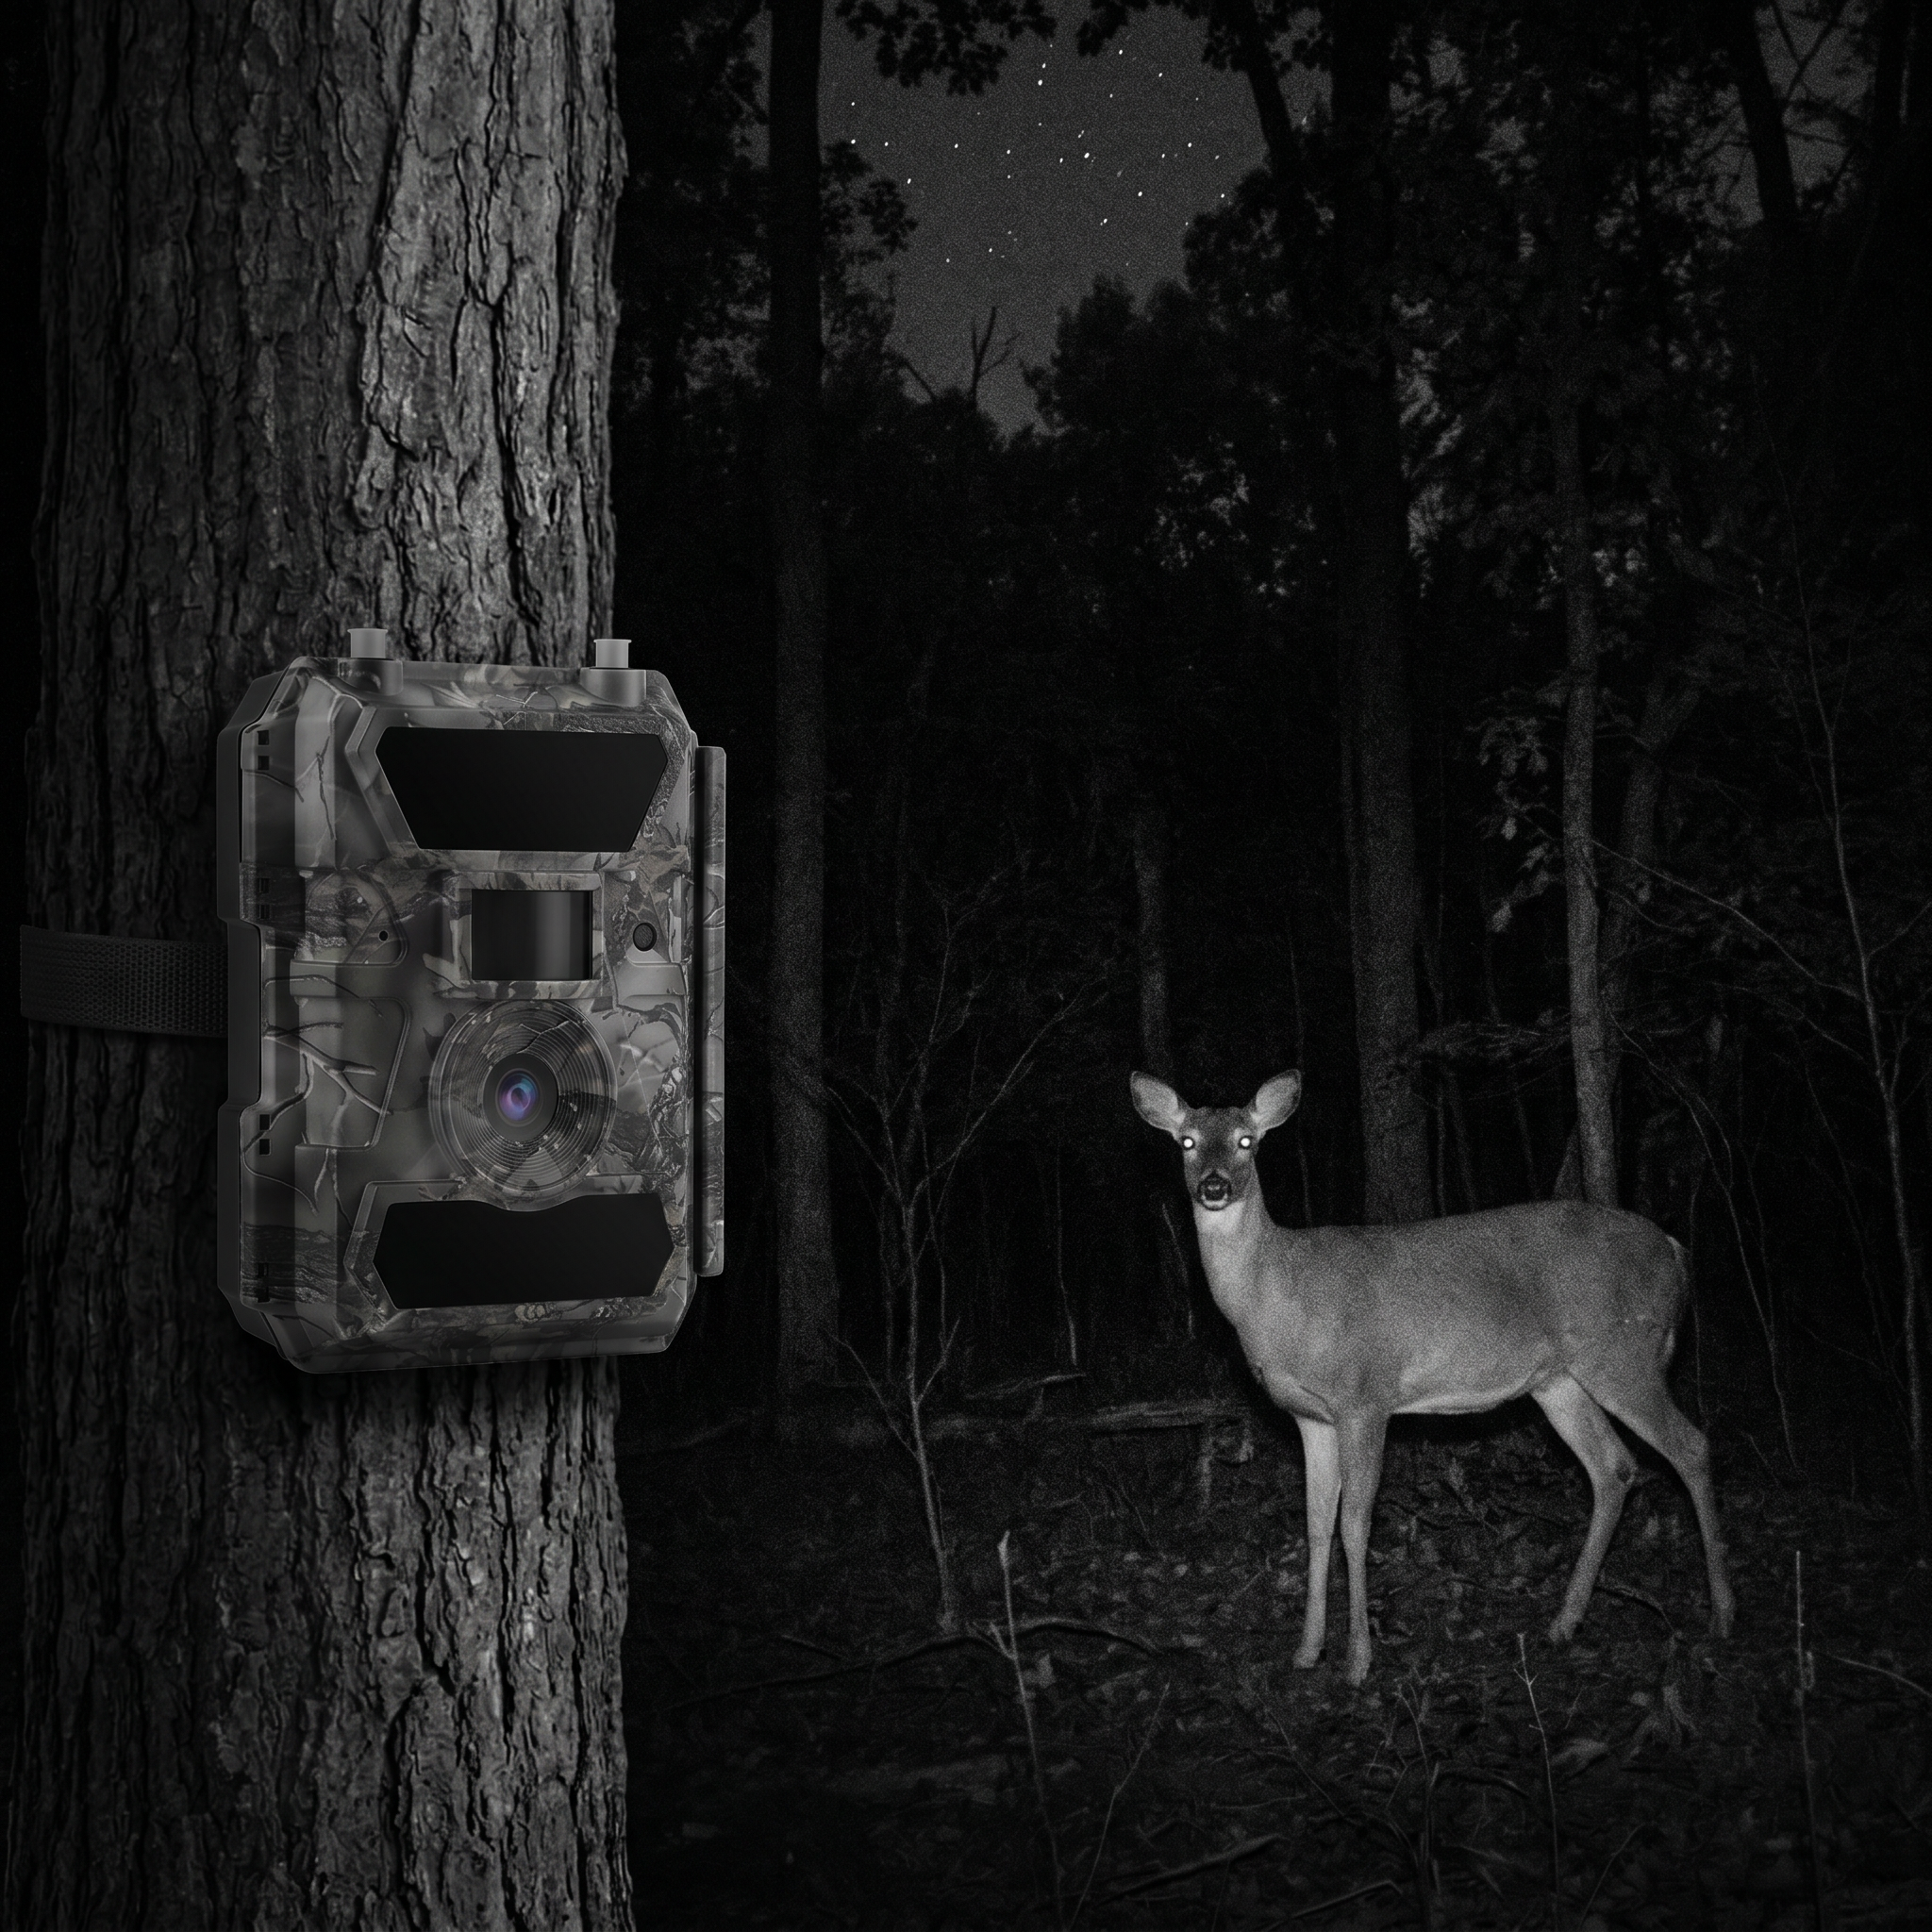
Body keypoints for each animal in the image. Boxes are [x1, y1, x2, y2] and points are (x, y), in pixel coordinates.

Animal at [1131, 1069, 1735, 1686]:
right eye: (1187, 1141)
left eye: (1247, 1141)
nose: (1214, 1186)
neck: (1277, 1299)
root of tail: (1674, 1251)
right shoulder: (1310, 1416)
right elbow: (1316, 1523)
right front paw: (1306, 1651)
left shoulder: (1365, 1395)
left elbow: (1356, 1524)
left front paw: (1357, 1662)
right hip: (1559, 1380)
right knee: (1614, 1467)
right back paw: (1564, 1623)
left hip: (1622, 1351)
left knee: (1690, 1445)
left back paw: (1722, 1615)